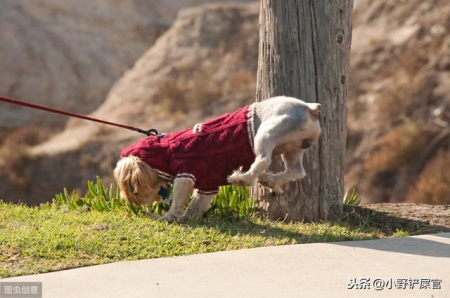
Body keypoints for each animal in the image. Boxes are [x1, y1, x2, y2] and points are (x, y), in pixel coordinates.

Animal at [114, 95, 322, 221]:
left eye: (130, 188)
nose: (131, 201)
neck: (164, 150)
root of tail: (310, 108)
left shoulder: (185, 173)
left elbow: (179, 199)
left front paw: (169, 218)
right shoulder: (208, 186)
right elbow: (197, 204)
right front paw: (188, 218)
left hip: (267, 132)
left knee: (264, 160)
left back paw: (242, 178)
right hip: (293, 148)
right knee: (296, 170)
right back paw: (269, 180)